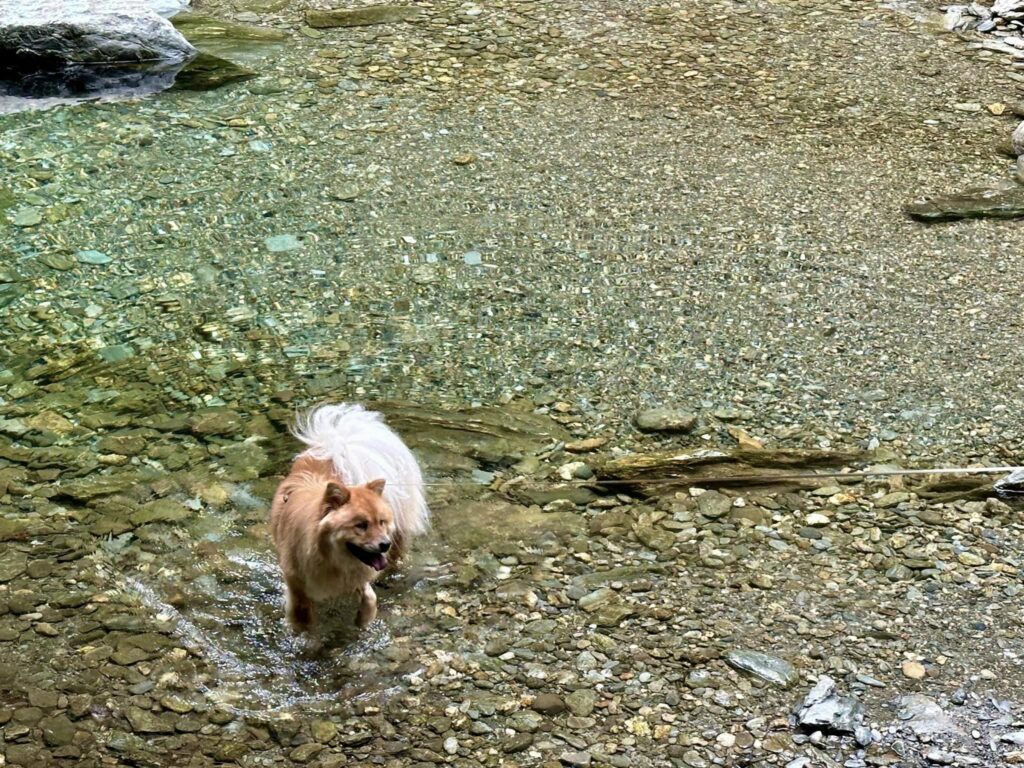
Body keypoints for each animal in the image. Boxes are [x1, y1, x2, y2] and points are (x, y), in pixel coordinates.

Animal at [268, 403, 428, 630]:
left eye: (381, 522)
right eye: (361, 525)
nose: (384, 544)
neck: (331, 559)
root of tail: (333, 446)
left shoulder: (358, 574)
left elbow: (370, 596)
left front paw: (363, 620)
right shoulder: (297, 584)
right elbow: (303, 618)